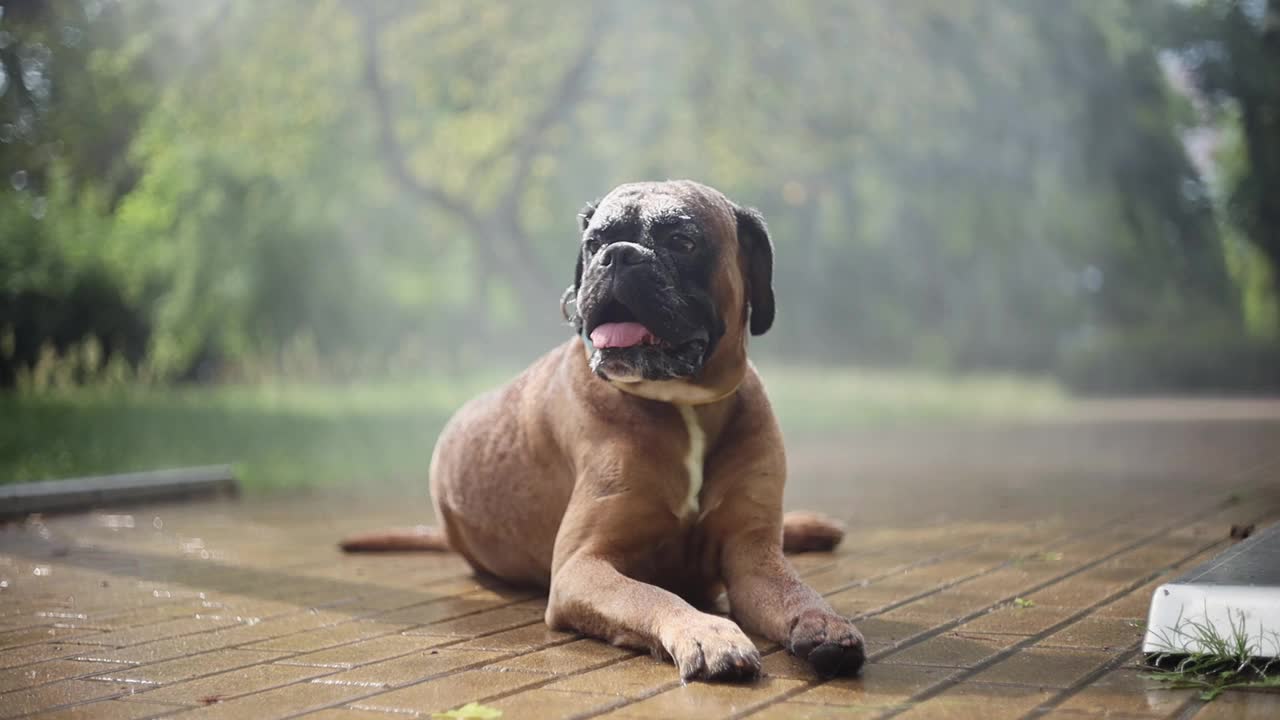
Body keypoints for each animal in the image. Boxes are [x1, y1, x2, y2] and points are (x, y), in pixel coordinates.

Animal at [340, 179, 865, 676]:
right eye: (594, 243)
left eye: (682, 241)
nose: (618, 256)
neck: (681, 404)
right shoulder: (583, 567)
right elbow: (652, 594)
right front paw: (706, 632)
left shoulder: (752, 558)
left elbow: (794, 591)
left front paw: (823, 622)